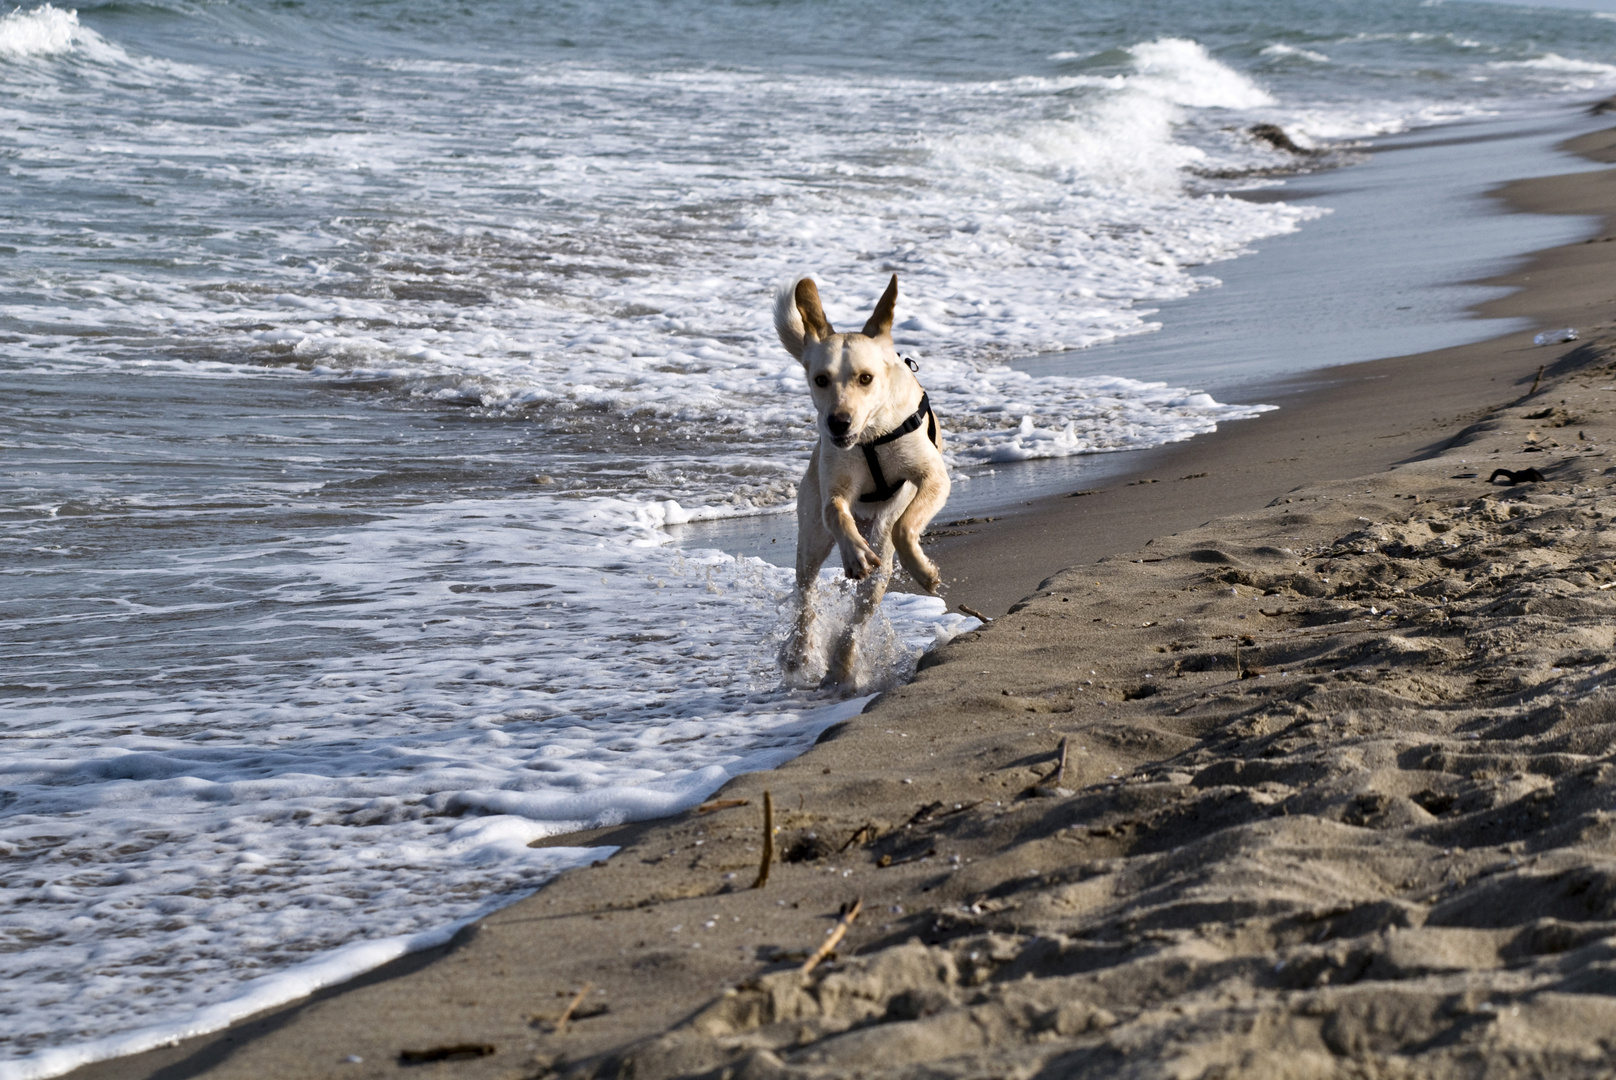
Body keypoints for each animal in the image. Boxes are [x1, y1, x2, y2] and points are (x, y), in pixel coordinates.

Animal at [775, 274, 950, 688]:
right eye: (820, 379)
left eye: (865, 378)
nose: (838, 423)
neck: (871, 434)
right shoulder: (834, 490)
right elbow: (837, 512)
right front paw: (853, 552)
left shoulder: (933, 477)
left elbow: (905, 526)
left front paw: (924, 571)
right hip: (811, 540)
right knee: (805, 593)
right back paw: (801, 652)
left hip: (881, 562)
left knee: (860, 611)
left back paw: (841, 664)